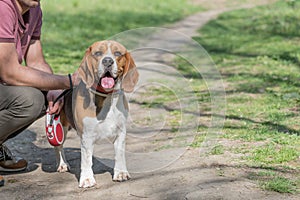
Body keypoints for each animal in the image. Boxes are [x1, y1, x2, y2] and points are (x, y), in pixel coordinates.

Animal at [56, 40, 138, 188]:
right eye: (98, 53)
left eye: (118, 53)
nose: (108, 61)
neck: (107, 98)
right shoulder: (86, 136)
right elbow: (86, 160)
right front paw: (87, 179)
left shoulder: (120, 133)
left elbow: (119, 155)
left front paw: (121, 173)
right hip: (61, 130)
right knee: (59, 147)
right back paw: (63, 164)